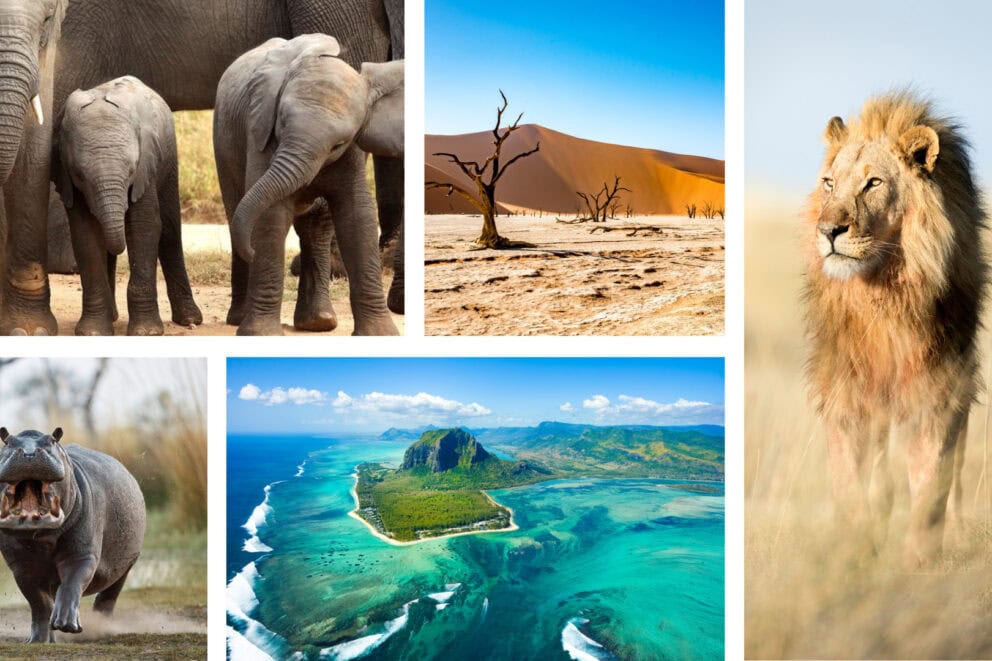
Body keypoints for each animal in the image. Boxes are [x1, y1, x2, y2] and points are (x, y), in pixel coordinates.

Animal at [0, 427, 146, 643]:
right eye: (7, 441)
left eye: (52, 440)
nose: (28, 454)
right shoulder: (21, 567)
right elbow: (39, 603)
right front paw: (37, 640)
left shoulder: (81, 555)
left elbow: (71, 583)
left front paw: (67, 625)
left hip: (126, 566)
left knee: (108, 596)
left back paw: (102, 628)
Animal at [53, 76, 202, 335]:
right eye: (79, 175)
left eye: (132, 169)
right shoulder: (69, 181)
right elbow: (85, 234)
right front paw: (93, 332)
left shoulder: (146, 167)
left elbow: (145, 227)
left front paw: (147, 332)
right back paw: (112, 317)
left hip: (169, 159)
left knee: (170, 232)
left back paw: (189, 319)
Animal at [214, 35, 401, 336]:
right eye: (281, 121)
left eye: (338, 143)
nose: (252, 252)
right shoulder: (261, 131)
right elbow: (271, 214)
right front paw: (259, 334)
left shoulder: (352, 151)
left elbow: (357, 216)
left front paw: (380, 334)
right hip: (223, 140)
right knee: (235, 211)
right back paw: (239, 318)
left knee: (315, 225)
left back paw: (318, 322)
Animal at [804, 91, 987, 568]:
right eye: (829, 183)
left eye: (873, 183)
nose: (829, 230)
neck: (884, 294)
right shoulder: (845, 392)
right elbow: (850, 482)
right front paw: (854, 555)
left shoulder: (940, 390)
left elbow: (932, 483)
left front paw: (918, 562)